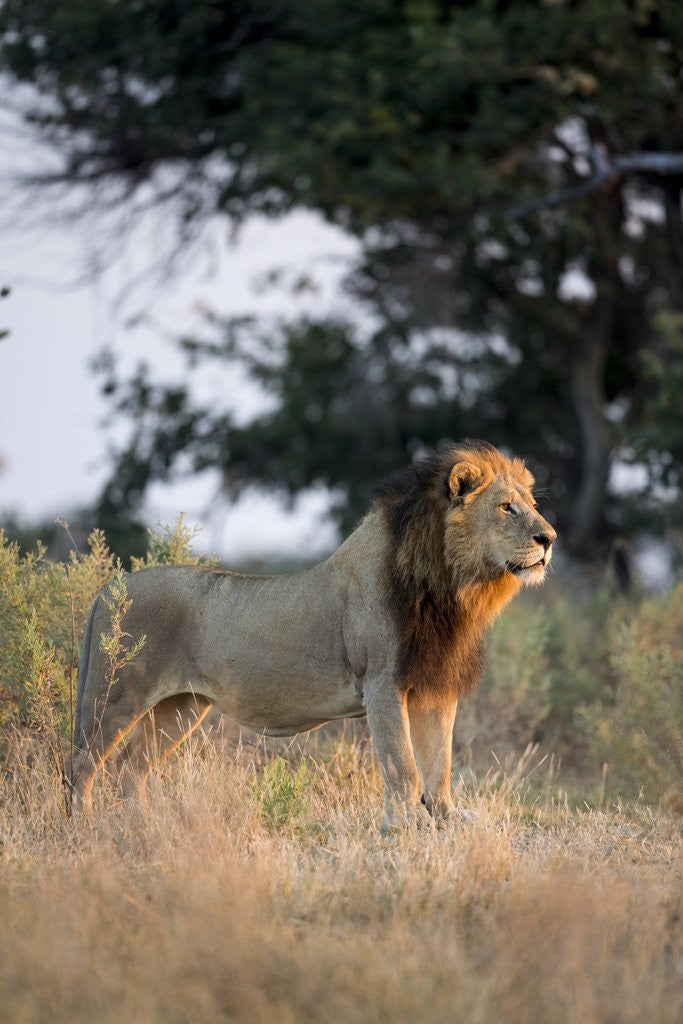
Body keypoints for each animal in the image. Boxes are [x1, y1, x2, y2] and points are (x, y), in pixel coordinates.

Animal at [72, 439, 556, 826]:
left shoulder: (435, 685)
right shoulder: (382, 682)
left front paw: (447, 818)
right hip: (115, 698)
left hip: (181, 709)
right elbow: (403, 764)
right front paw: (406, 825)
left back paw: (144, 824)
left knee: (131, 770)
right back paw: (84, 826)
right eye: (506, 507)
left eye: (531, 503)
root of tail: (107, 590)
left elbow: (440, 763)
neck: (452, 587)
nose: (549, 538)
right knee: (81, 764)